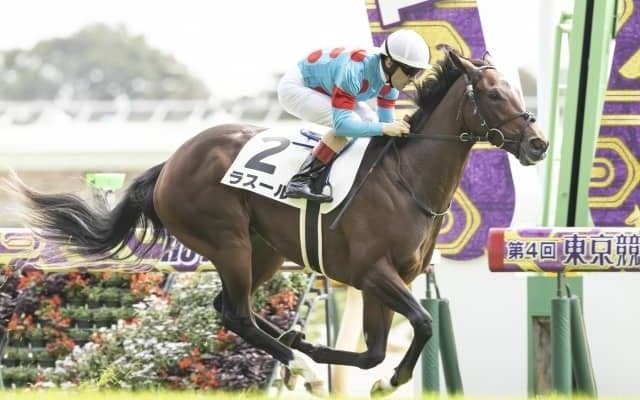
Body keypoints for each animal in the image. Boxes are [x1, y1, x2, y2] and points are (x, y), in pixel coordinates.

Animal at [6, 50, 548, 396]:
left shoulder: (390, 280)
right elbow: (421, 322)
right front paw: (388, 379)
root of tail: (171, 162)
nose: (539, 143)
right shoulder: (374, 273)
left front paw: (358, 368)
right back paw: (301, 364)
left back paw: (295, 347)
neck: (407, 180)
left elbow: (374, 350)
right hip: (228, 242)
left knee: (228, 307)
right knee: (236, 314)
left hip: (263, 249)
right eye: (494, 95)